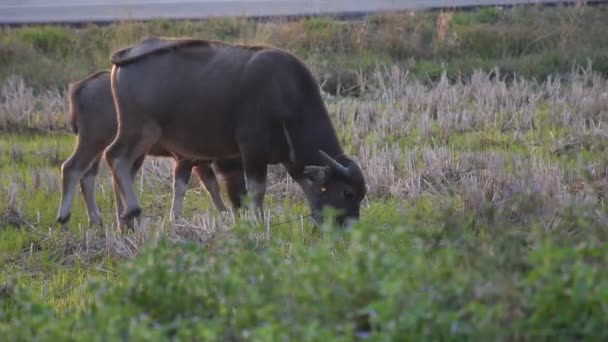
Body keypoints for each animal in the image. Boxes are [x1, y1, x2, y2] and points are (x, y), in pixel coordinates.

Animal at [56, 69, 247, 227]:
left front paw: (224, 211)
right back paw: (65, 216)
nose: (242, 205)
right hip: (93, 139)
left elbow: (212, 185)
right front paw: (174, 218)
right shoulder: (184, 159)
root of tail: (81, 87)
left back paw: (100, 220)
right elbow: (181, 187)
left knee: (89, 175)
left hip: (99, 146)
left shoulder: (200, 162)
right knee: (71, 168)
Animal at [104, 36, 366, 228]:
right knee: (115, 157)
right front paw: (258, 224)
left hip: (142, 141)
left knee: (124, 170)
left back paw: (124, 222)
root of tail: (128, 53)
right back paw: (132, 211)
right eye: (347, 193)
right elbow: (256, 191)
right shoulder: (252, 150)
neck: (286, 94)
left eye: (361, 195)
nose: (349, 228)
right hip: (139, 129)